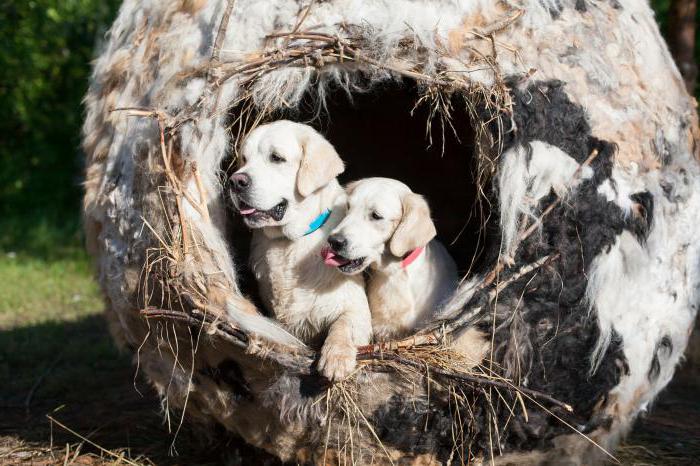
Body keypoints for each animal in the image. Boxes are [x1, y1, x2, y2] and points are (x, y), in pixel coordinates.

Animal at [228, 121, 372, 382]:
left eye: (276, 158)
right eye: (244, 158)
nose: (236, 181)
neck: (290, 243)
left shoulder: (356, 308)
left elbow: (343, 324)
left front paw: (336, 358)